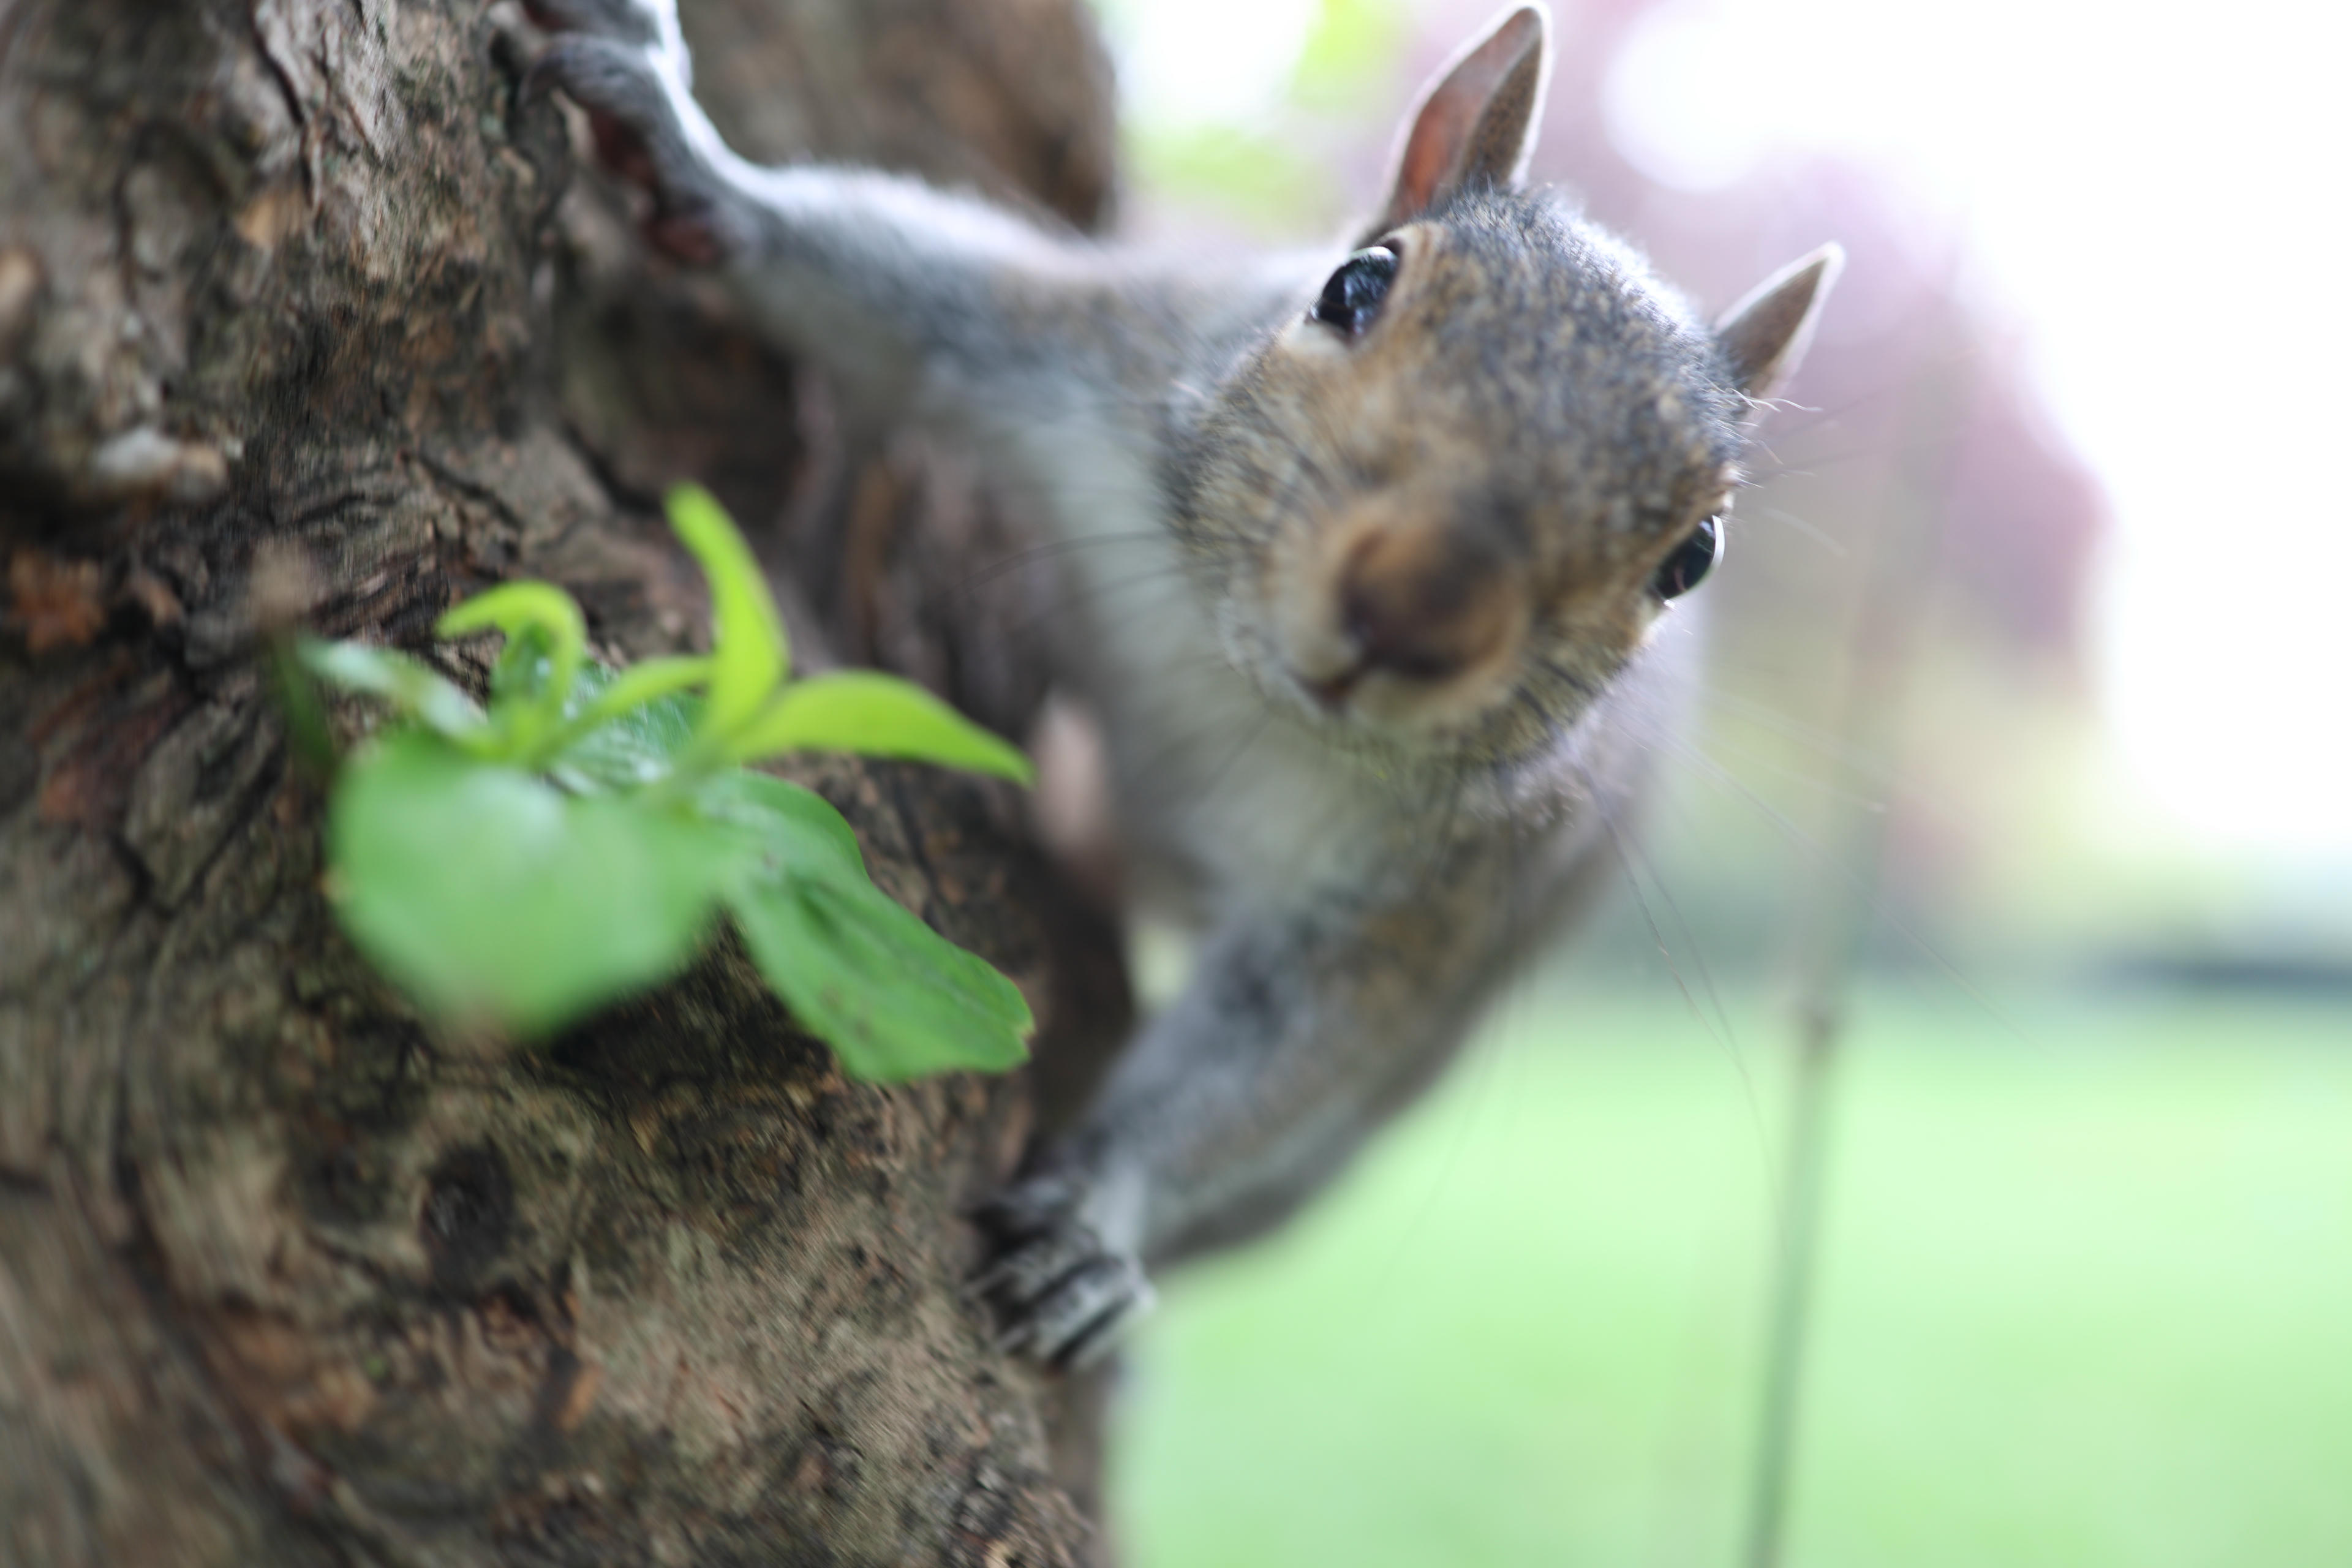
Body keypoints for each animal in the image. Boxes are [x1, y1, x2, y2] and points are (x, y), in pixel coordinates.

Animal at [524, 0, 1840, 1367]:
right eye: (1355, 284)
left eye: (1694, 555)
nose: (1414, 609)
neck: (1234, 675)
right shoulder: (1089, 359)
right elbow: (901, 296)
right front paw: (687, 155)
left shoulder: (1422, 907)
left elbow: (1266, 1068)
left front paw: (1097, 1216)